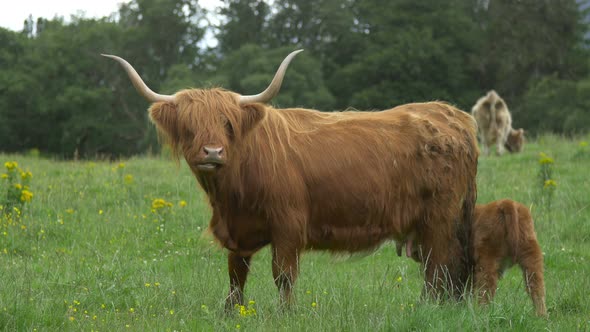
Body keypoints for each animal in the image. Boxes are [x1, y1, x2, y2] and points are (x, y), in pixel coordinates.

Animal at [103, 50, 480, 308]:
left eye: (228, 124)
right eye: (189, 126)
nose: (212, 152)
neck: (231, 194)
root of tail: (453, 115)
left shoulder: (288, 224)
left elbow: (283, 275)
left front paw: (286, 313)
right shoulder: (237, 232)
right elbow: (236, 275)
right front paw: (232, 312)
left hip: (440, 218)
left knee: (441, 265)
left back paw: (429, 308)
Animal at [400, 200, 548, 316]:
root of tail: (506, 203)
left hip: (487, 263)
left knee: (486, 290)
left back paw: (481, 313)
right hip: (531, 259)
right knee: (537, 288)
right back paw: (541, 316)